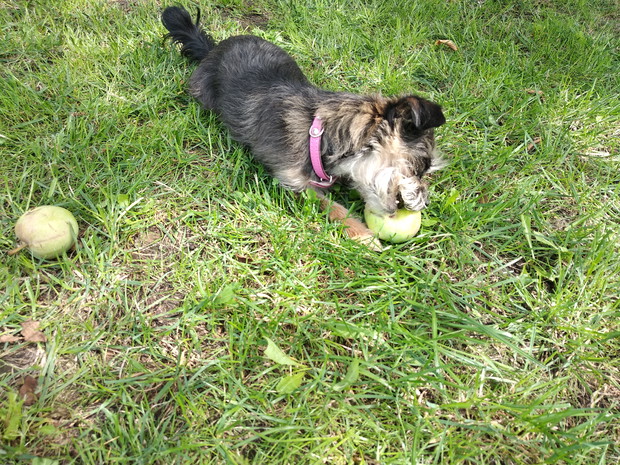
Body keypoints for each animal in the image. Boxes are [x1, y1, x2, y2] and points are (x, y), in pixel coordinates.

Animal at [161, 6, 446, 247]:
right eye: (419, 169)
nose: (425, 202)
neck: (320, 134)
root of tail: (213, 48)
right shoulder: (294, 183)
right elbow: (333, 207)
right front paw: (362, 234)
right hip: (201, 92)